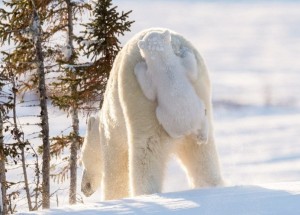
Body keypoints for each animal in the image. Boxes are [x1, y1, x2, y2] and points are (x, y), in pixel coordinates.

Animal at [79, 28, 223, 200]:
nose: (84, 187)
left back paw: (146, 193)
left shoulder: (112, 132)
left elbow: (116, 169)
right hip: (200, 93)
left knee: (146, 152)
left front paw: (114, 198)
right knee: (203, 155)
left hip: (140, 103)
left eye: (81, 159)